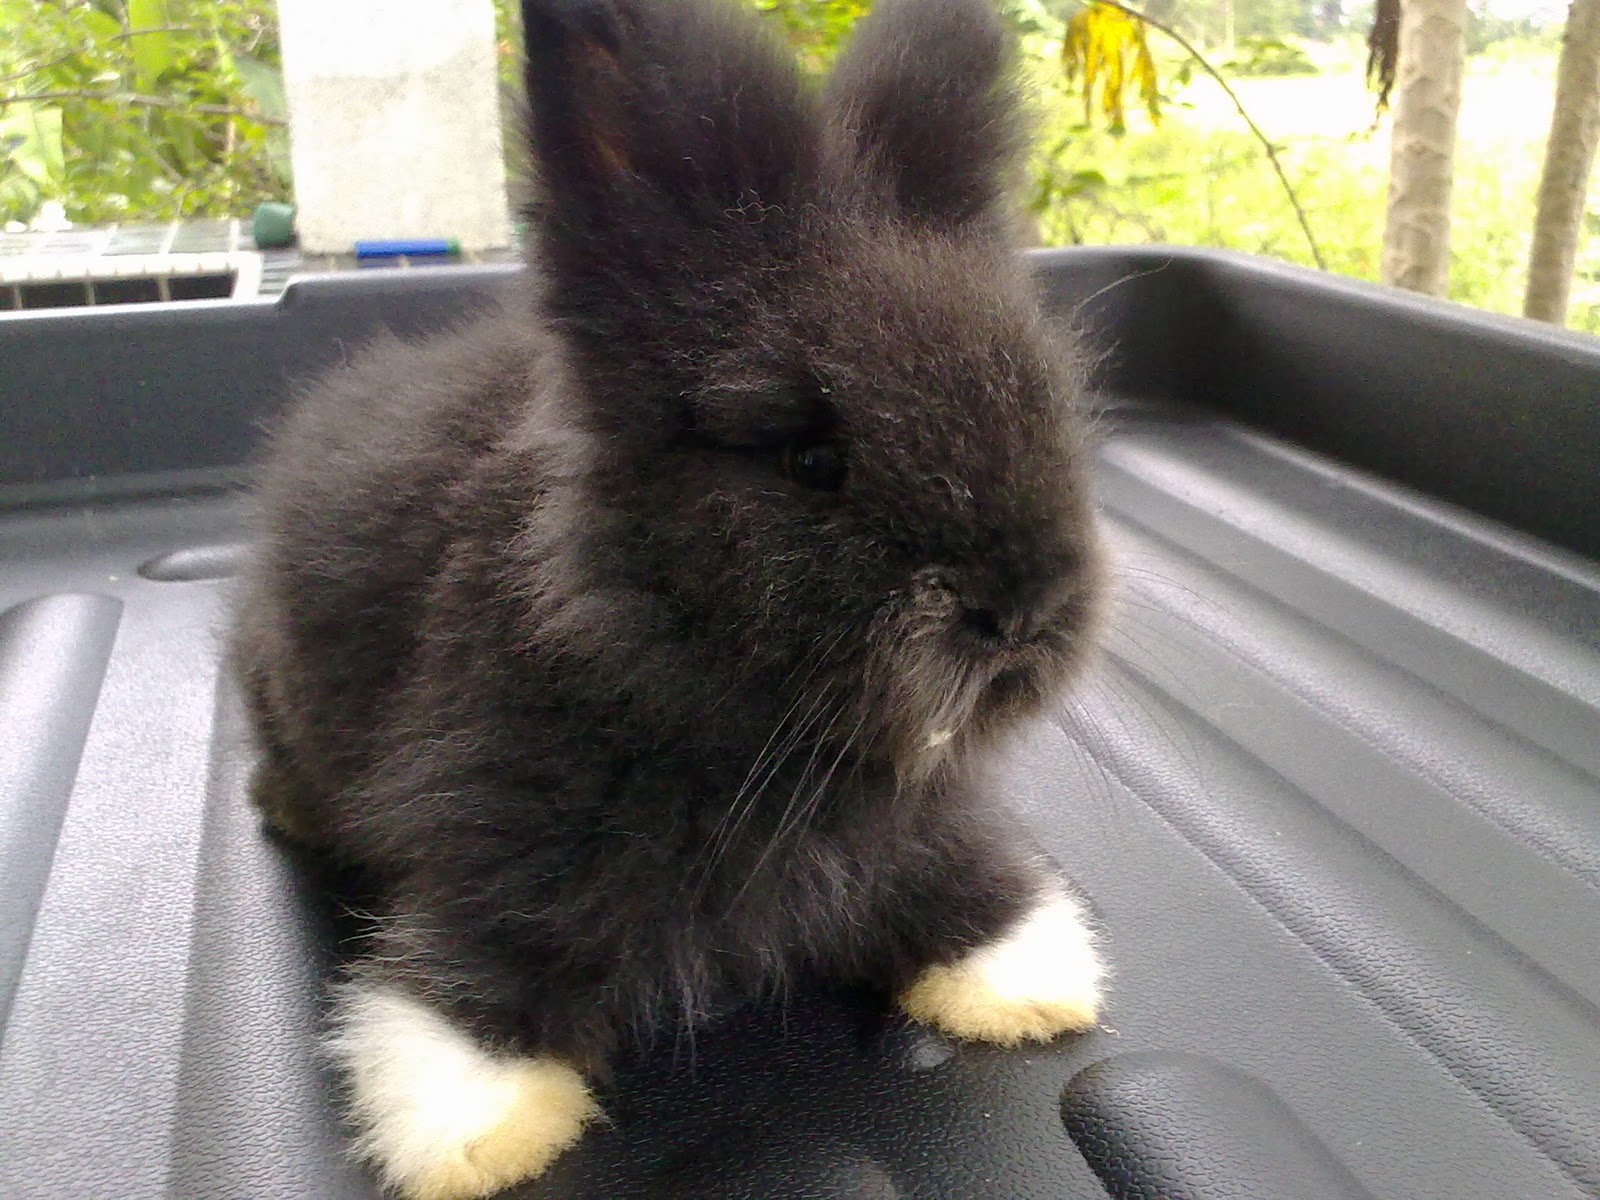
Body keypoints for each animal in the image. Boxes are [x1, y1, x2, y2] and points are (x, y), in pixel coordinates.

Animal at [231, 0, 1109, 1196]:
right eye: (811, 460)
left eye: (1047, 401)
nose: (1022, 611)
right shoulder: (493, 830)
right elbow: (475, 975)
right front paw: (481, 1132)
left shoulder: (916, 825)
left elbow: (955, 885)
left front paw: (1028, 983)